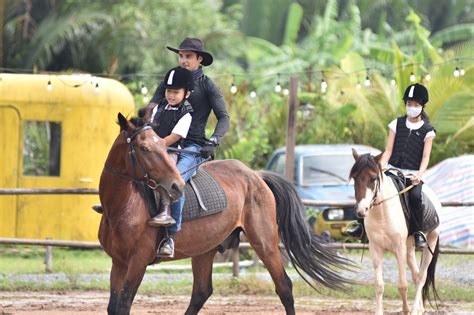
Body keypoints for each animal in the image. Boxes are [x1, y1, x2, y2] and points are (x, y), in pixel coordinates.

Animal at [101, 113, 356, 315]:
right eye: (144, 148)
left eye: (163, 147)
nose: (176, 186)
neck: (122, 207)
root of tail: (255, 175)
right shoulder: (118, 263)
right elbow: (114, 306)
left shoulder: (138, 262)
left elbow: (123, 305)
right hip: (205, 250)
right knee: (201, 292)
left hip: (265, 243)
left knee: (284, 286)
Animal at [348, 149, 440, 314]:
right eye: (354, 178)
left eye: (373, 178)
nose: (361, 210)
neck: (382, 214)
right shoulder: (375, 248)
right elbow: (379, 285)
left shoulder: (399, 248)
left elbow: (402, 285)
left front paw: (406, 310)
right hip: (409, 249)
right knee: (416, 275)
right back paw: (420, 309)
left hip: (430, 241)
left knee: (421, 277)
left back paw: (415, 309)